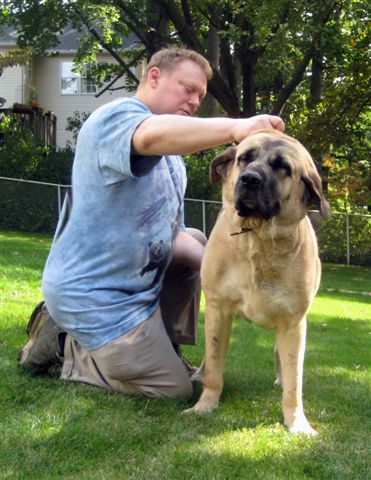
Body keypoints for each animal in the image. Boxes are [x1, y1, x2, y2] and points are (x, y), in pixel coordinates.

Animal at [187, 129, 330, 436]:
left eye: (283, 167)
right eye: (244, 158)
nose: (250, 179)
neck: (257, 239)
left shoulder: (293, 322)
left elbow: (294, 381)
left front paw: (297, 422)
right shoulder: (217, 309)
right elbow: (215, 365)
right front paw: (204, 406)